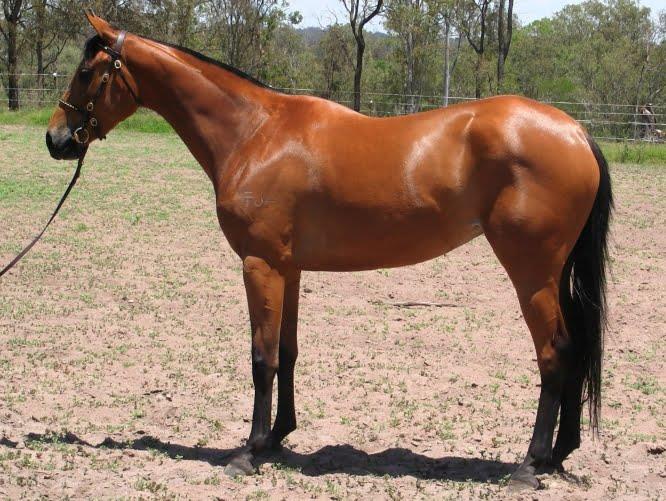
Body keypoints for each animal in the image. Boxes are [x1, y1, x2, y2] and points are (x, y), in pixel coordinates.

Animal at [45, 12, 613, 490]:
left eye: (85, 72)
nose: (56, 139)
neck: (256, 133)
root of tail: (575, 131)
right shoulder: (288, 269)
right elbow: (288, 353)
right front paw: (278, 436)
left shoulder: (260, 266)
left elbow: (261, 357)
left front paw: (248, 452)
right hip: (554, 273)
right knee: (577, 349)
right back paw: (559, 454)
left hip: (531, 272)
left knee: (555, 353)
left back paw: (530, 465)